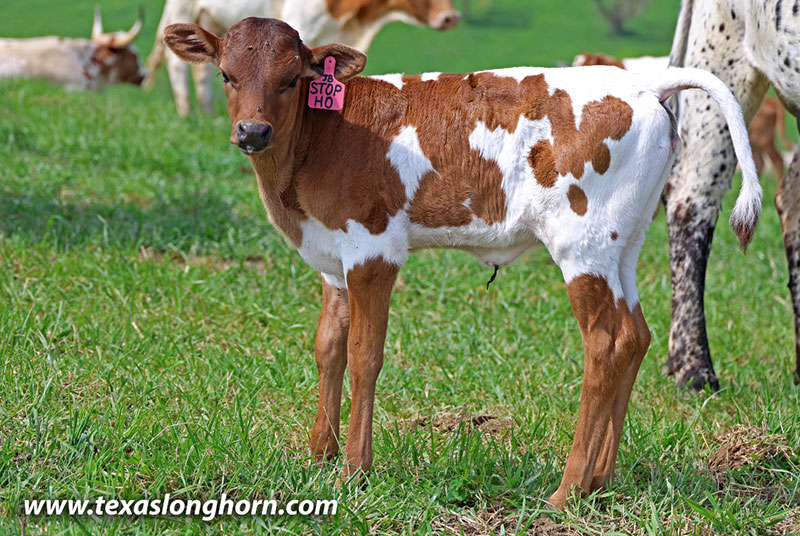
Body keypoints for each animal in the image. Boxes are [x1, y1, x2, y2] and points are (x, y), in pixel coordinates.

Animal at [162, 16, 759, 509]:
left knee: (606, 342)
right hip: (623, 245)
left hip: (582, 244)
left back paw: (566, 491)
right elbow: (328, 348)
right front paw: (319, 455)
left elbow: (363, 355)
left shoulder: (373, 249)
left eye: (292, 79)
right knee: (635, 335)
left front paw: (354, 470)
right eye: (226, 75)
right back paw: (598, 482)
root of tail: (642, 84)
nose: (252, 132)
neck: (321, 137)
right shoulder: (332, 257)